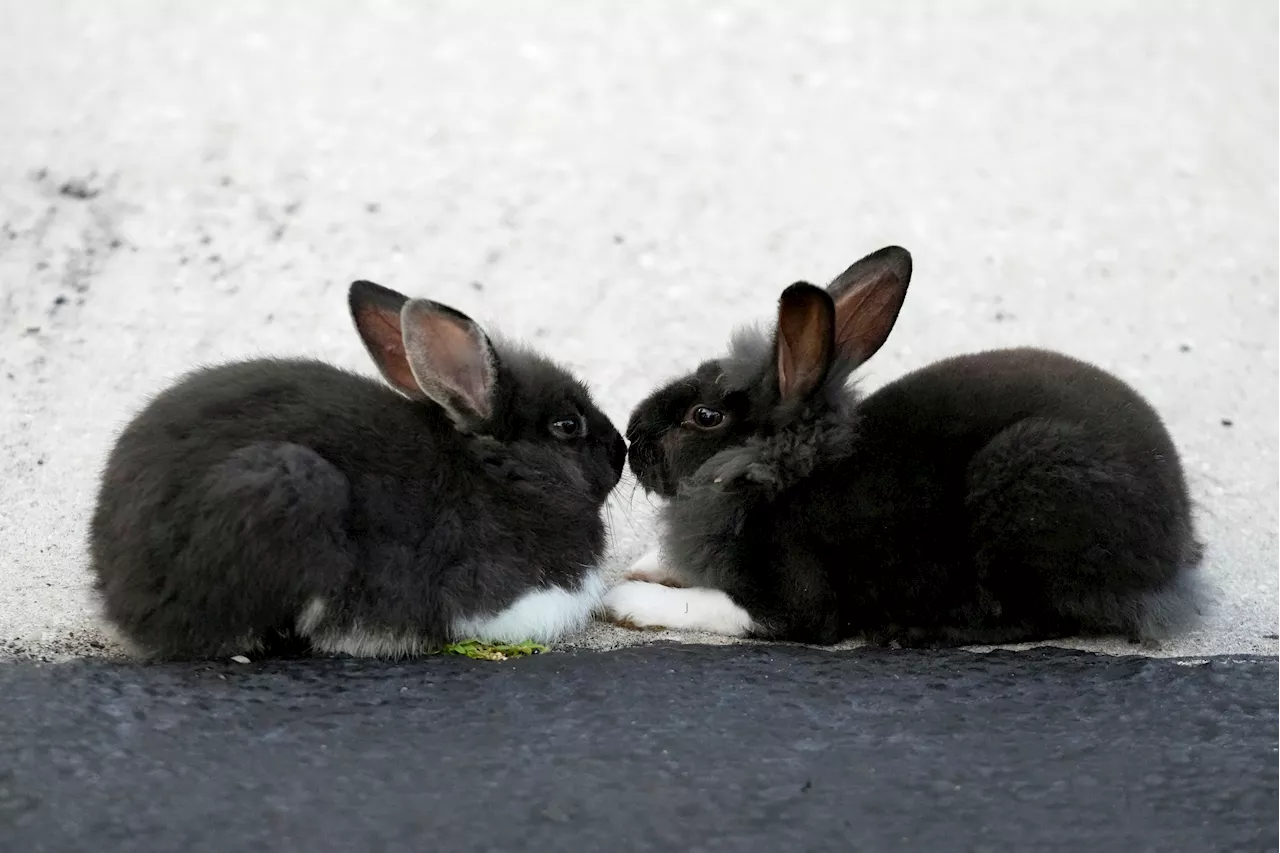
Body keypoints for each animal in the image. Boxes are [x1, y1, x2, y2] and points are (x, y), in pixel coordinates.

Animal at [604, 245, 1203, 645]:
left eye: (705, 417)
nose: (631, 435)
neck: (780, 467)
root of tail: (1171, 555)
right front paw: (647, 565)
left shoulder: (794, 603)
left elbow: (717, 607)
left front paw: (625, 600)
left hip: (1028, 496)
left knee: (1029, 619)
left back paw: (912, 631)